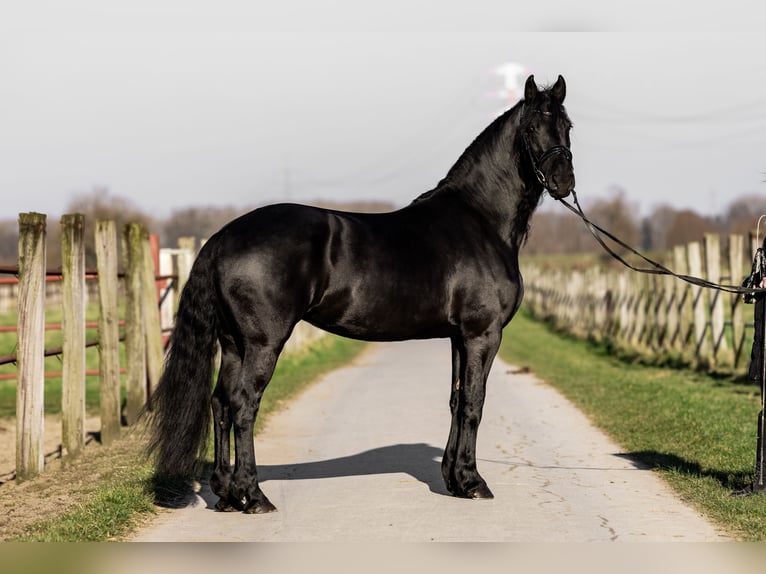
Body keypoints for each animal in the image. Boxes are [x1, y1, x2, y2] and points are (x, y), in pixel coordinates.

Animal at [148, 74, 576, 516]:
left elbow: (457, 401)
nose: (564, 181)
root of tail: (223, 236)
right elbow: (475, 402)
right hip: (263, 342)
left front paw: (454, 479)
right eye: (531, 128)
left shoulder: (460, 336)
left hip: (233, 342)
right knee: (244, 403)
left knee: (220, 402)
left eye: (567, 126)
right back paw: (254, 495)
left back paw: (227, 493)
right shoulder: (483, 334)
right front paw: (474, 483)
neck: (480, 221)